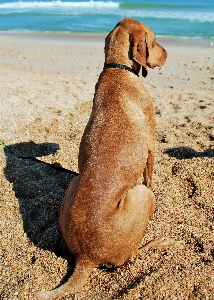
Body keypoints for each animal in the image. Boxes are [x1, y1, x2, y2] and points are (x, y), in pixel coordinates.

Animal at [36, 18, 168, 300]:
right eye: (153, 41)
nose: (167, 53)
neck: (117, 68)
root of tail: (86, 258)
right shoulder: (151, 143)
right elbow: (150, 175)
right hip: (141, 197)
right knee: (132, 254)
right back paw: (160, 242)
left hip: (73, 183)